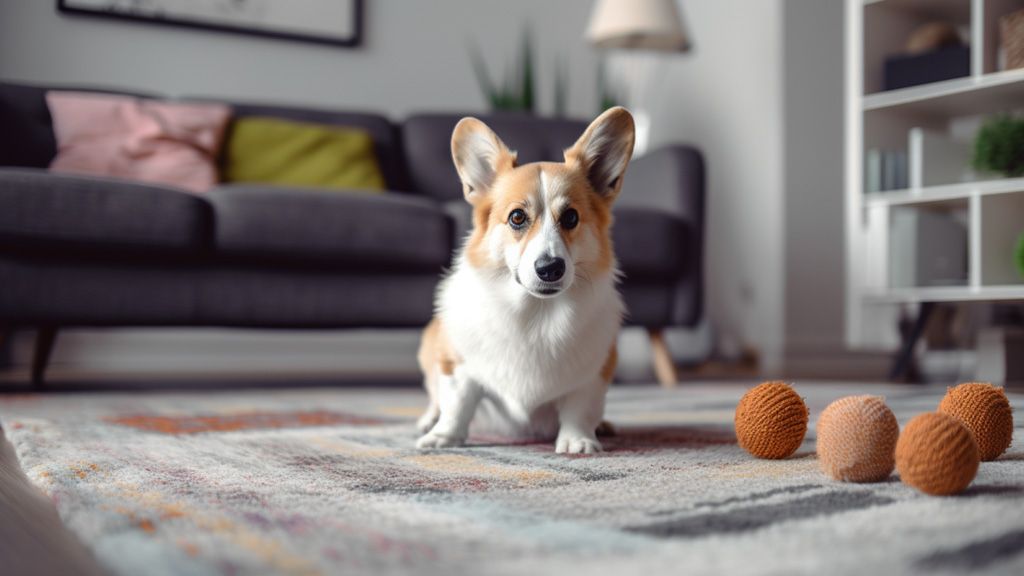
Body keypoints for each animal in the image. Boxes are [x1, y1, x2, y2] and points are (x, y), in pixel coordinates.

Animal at [415, 105, 630, 450]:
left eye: (571, 217)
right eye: (517, 217)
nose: (550, 268)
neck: (535, 313)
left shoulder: (594, 374)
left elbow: (580, 407)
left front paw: (578, 440)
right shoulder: (456, 365)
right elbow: (457, 402)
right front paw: (443, 437)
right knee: (435, 399)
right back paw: (427, 422)